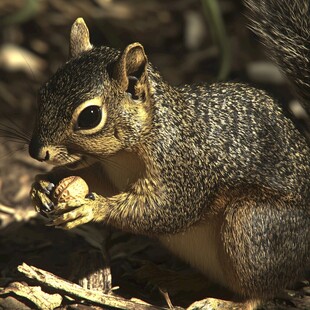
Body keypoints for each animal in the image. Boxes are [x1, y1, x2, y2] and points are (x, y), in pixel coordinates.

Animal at [28, 0, 308, 306]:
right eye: (42, 92)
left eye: (90, 116)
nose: (36, 152)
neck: (124, 155)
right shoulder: (109, 172)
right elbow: (97, 182)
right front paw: (41, 185)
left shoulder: (183, 168)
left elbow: (166, 208)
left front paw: (92, 208)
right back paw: (170, 277)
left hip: (253, 229)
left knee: (259, 293)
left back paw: (224, 303)